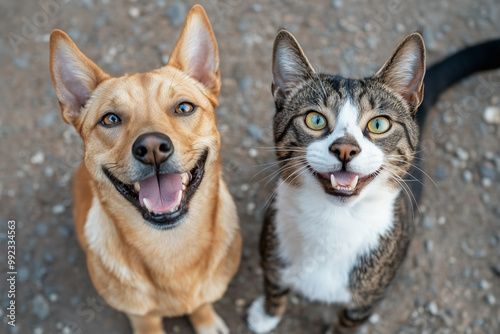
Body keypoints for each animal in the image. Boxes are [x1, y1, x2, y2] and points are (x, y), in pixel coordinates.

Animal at [49, 5, 242, 334]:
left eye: (184, 107)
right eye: (110, 119)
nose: (152, 147)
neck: (170, 248)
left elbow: (201, 305)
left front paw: (205, 321)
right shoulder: (141, 315)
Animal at [245, 29, 500, 334]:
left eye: (379, 124)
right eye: (315, 120)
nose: (345, 148)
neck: (334, 221)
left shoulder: (365, 303)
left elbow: (345, 325)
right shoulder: (273, 251)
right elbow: (274, 286)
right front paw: (267, 314)